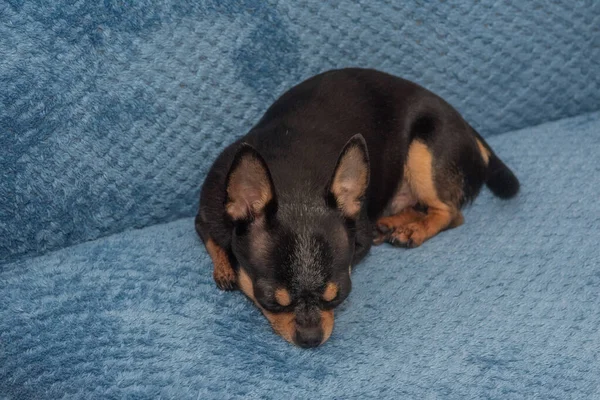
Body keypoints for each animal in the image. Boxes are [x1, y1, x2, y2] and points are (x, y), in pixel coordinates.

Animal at [195, 68, 516, 346]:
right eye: (270, 301)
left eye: (338, 297)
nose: (311, 339)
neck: (294, 181)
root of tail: (468, 127)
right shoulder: (205, 216)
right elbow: (212, 239)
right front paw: (225, 267)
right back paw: (394, 222)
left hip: (424, 151)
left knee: (450, 212)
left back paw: (413, 229)